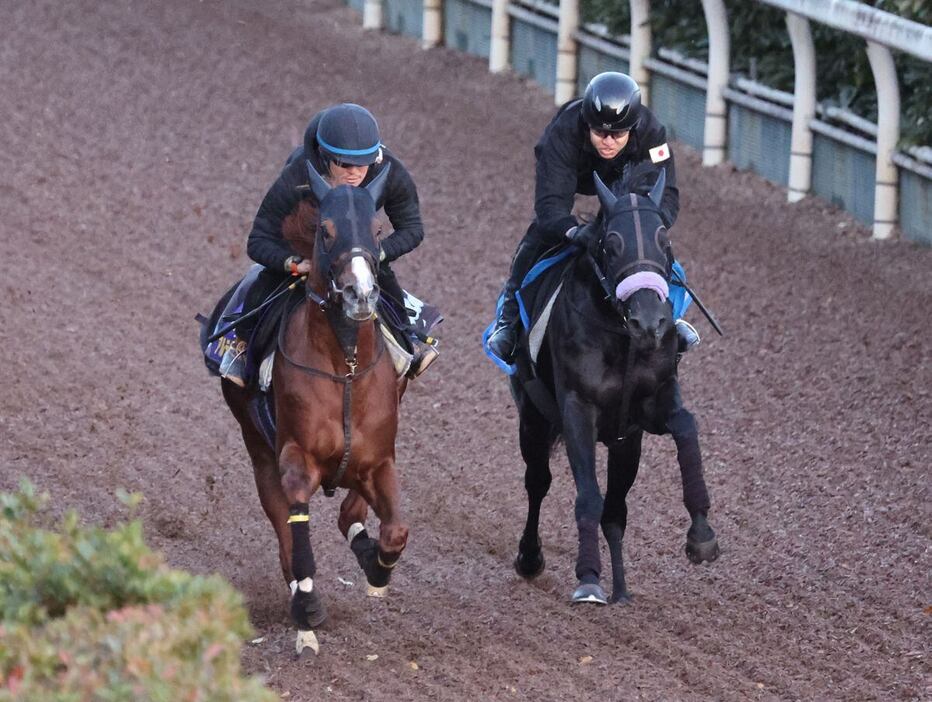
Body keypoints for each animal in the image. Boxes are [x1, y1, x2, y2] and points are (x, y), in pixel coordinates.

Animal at [222, 162, 408, 656]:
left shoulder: (379, 460)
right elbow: (298, 539)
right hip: (258, 451)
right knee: (287, 539)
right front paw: (307, 608)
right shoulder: (295, 460)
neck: (345, 368)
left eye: (377, 230)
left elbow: (394, 530)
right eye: (326, 231)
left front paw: (377, 566)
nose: (361, 294)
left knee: (351, 514)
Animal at [512, 164, 716, 604]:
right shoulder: (577, 409)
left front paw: (702, 534)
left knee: (616, 512)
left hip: (626, 446)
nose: (650, 322)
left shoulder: (649, 409)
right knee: (538, 482)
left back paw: (621, 589)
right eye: (610, 244)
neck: (620, 337)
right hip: (533, 417)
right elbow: (587, 494)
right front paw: (589, 578)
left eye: (664, 240)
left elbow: (687, 426)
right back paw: (530, 557)